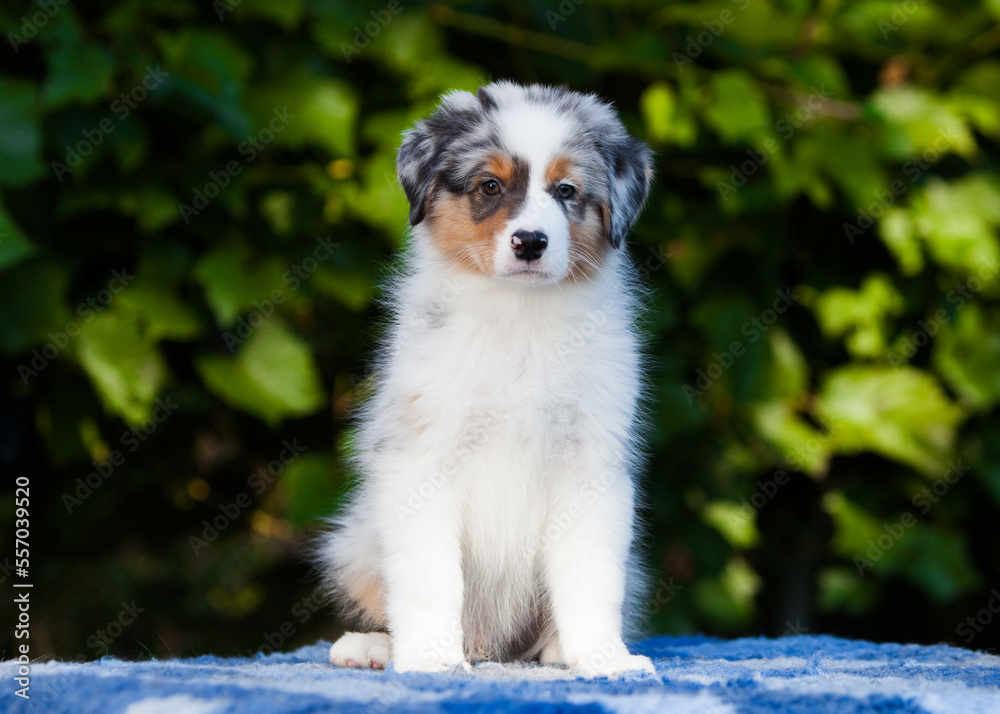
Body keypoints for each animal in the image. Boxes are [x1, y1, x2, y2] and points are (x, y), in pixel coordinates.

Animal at [316, 82, 652, 672]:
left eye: (566, 190)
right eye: (489, 186)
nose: (531, 242)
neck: (519, 317)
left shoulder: (591, 463)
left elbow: (591, 576)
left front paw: (604, 659)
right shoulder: (421, 456)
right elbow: (430, 577)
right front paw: (430, 659)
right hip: (355, 542)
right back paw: (374, 647)